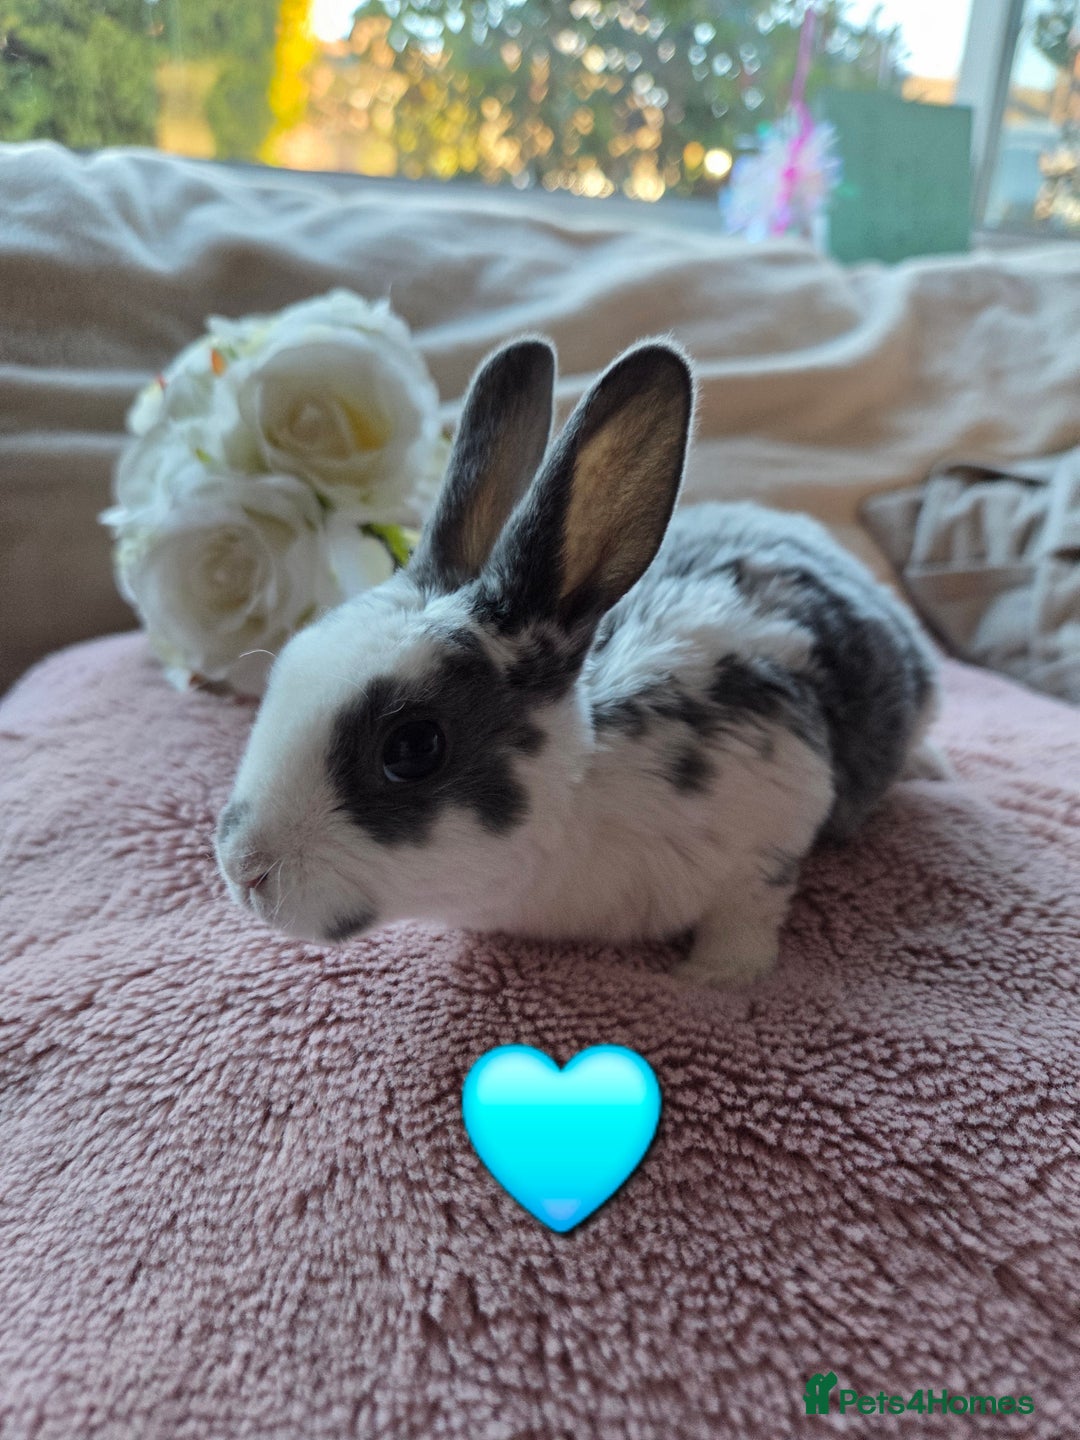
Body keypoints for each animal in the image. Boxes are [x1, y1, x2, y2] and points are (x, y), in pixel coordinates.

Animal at [215, 335, 942, 987]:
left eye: (413, 747)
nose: (244, 869)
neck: (584, 793)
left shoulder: (773, 820)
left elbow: (746, 915)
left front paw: (717, 981)